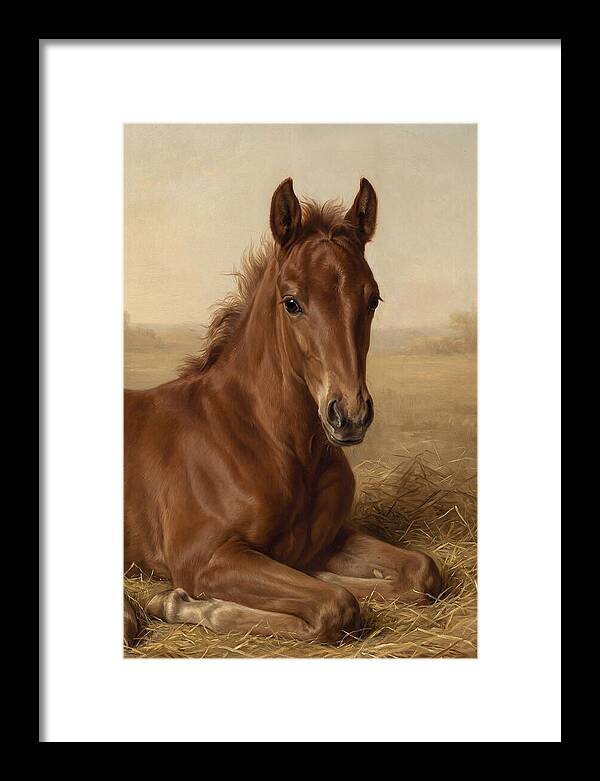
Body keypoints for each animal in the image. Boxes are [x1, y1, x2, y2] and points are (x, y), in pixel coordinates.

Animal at [124, 177, 441, 646]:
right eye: (291, 302)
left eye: (373, 300)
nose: (349, 414)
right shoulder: (204, 558)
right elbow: (336, 604)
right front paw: (177, 602)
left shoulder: (327, 539)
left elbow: (421, 572)